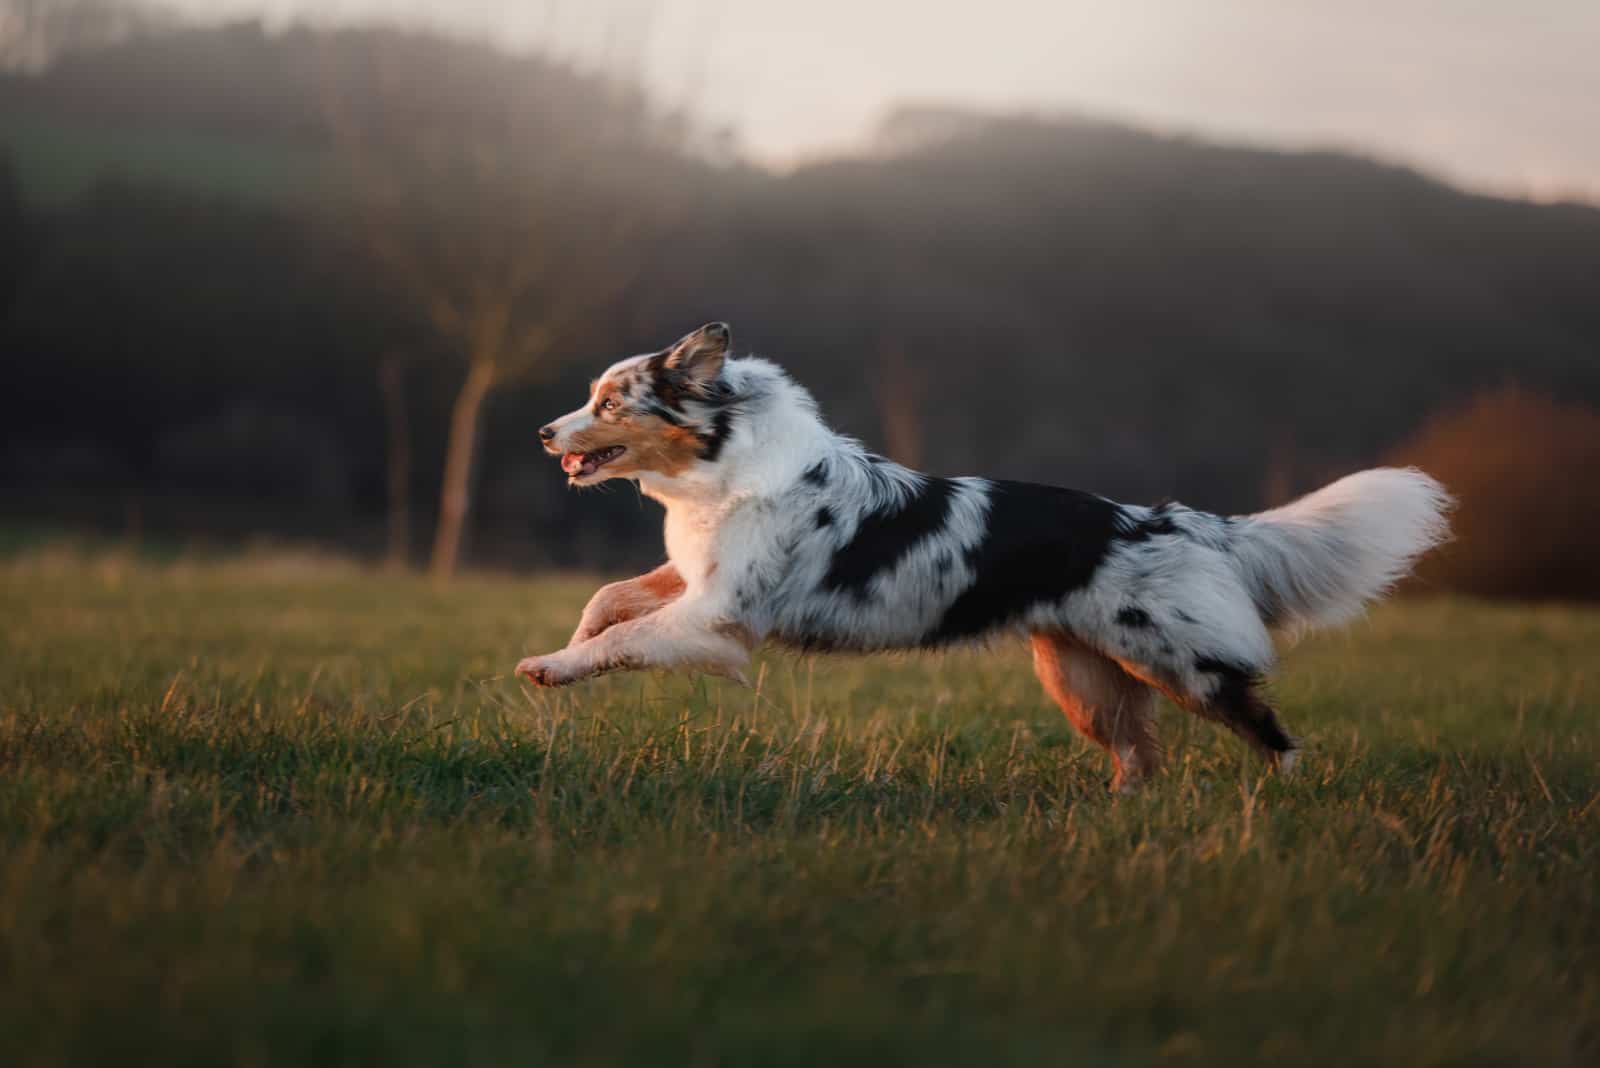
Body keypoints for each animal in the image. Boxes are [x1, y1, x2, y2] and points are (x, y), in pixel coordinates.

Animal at [518, 321, 1459, 789]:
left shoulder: (718, 618)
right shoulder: (694, 582)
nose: (543, 433)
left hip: (1181, 665)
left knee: (1266, 728)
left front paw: (550, 668)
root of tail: (1188, 522)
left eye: (610, 401)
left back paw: (1290, 801)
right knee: (1141, 759)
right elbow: (609, 600)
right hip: (1082, 679)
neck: (724, 461)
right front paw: (564, 646)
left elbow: (624, 638)